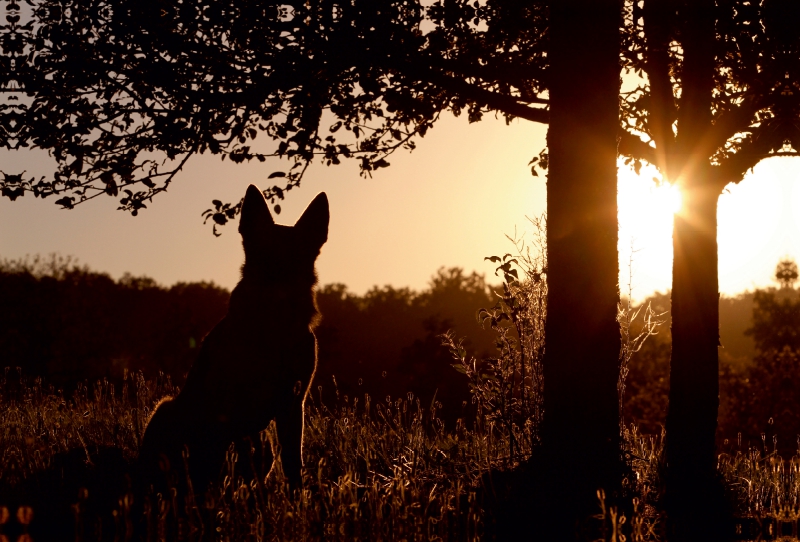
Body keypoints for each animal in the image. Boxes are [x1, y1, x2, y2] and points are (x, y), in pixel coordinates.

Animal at [138, 186, 328, 498]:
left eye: (297, 256)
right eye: (261, 252)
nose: (276, 280)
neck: (273, 326)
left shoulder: (293, 403)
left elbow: (292, 461)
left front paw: (297, 499)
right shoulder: (232, 405)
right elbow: (234, 456)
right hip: (166, 409)